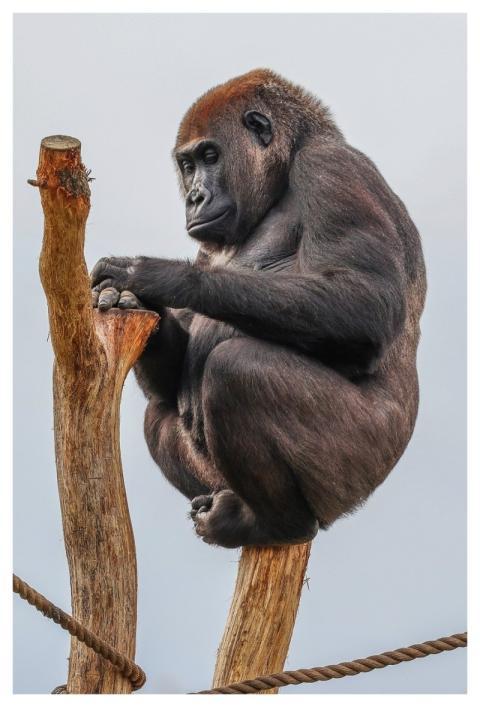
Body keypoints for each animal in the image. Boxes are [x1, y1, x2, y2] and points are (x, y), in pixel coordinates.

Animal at [90, 68, 426, 549]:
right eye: (188, 165)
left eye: (211, 155)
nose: (194, 197)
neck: (286, 170)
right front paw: (136, 302)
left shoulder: (331, 169)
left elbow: (364, 304)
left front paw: (157, 277)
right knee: (160, 412)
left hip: (356, 474)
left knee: (237, 369)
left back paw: (277, 523)